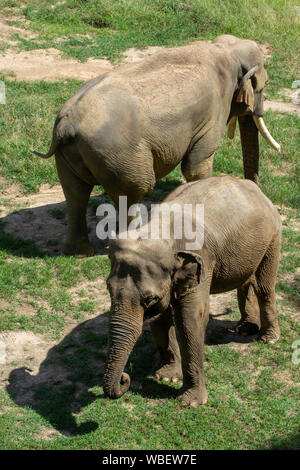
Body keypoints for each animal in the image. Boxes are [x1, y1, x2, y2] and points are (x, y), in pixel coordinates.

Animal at [32, 34, 278, 258]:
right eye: (263, 86)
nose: (258, 193)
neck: (225, 49)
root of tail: (65, 125)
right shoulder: (214, 113)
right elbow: (196, 166)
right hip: (118, 155)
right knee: (135, 189)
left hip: (71, 155)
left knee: (76, 194)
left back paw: (81, 253)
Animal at [103, 174, 282, 406]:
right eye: (108, 289)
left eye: (149, 299)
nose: (125, 379)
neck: (158, 231)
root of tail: (253, 187)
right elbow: (161, 318)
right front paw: (167, 376)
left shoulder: (202, 260)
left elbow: (189, 319)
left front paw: (190, 403)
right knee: (246, 281)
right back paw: (245, 329)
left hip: (273, 237)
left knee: (264, 286)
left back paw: (268, 338)